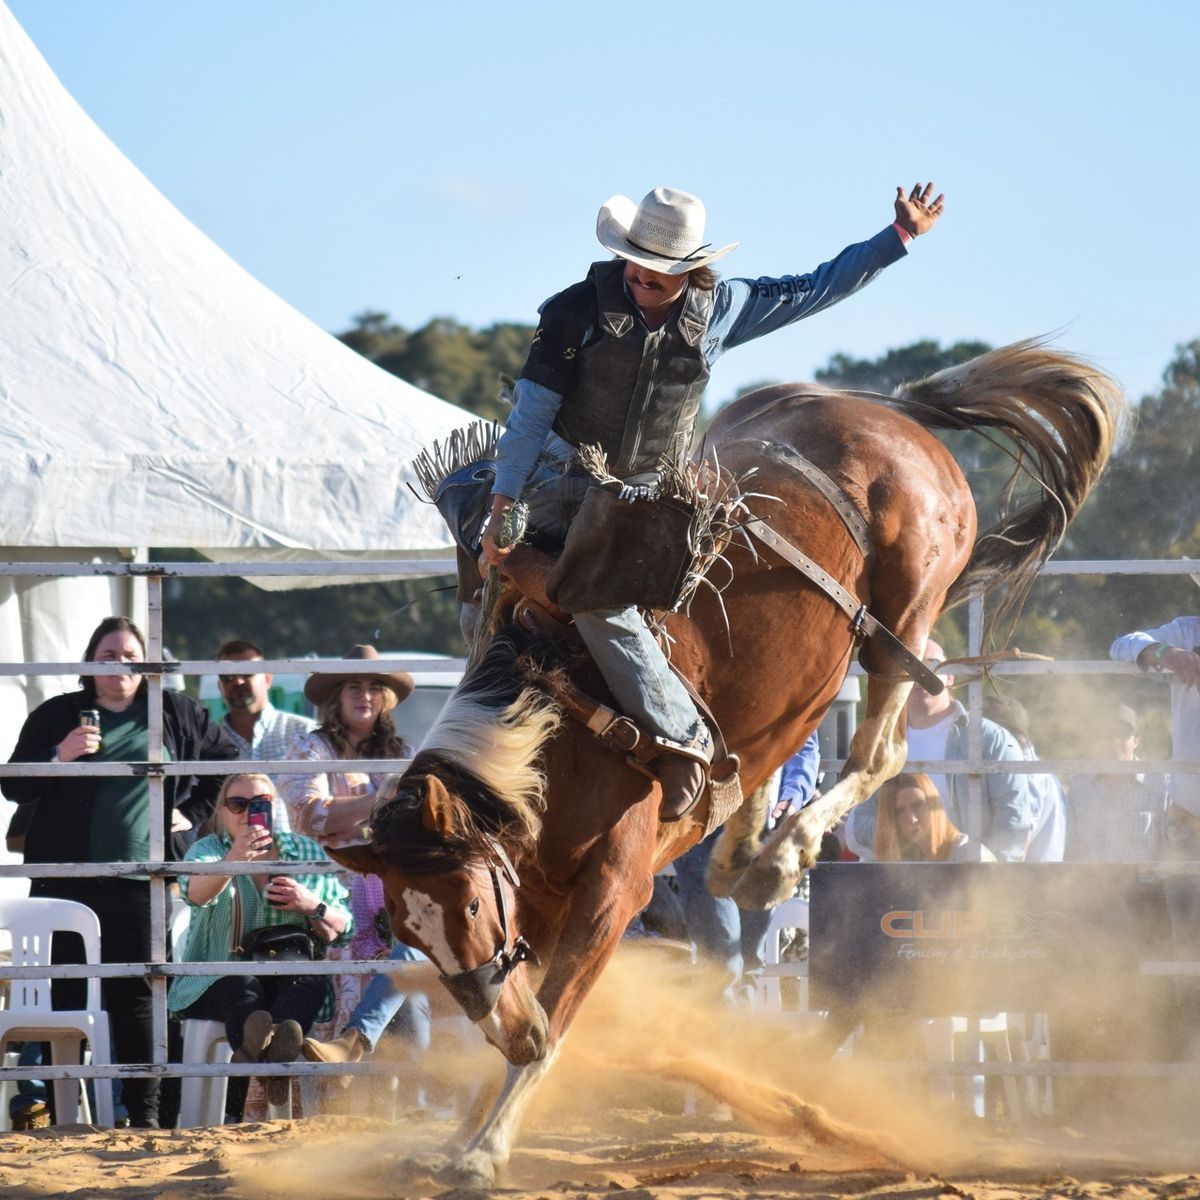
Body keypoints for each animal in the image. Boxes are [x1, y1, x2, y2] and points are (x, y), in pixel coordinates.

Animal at [333, 340, 1118, 1180]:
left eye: (472, 907)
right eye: (411, 933)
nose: (496, 1020)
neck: (551, 729)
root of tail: (890, 412)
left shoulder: (615, 891)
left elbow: (558, 1015)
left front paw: (485, 1149)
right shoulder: (537, 904)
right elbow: (538, 1004)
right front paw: (462, 1134)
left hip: (903, 618)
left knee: (881, 748)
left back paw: (779, 859)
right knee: (785, 750)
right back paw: (741, 849)